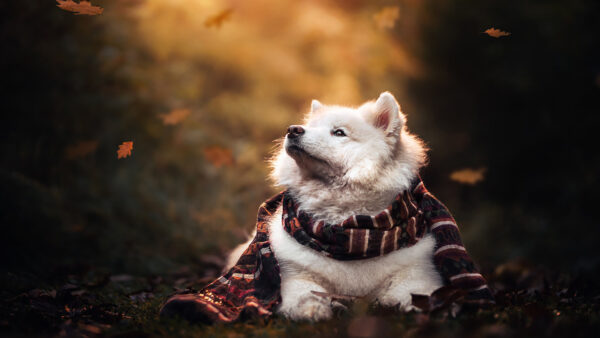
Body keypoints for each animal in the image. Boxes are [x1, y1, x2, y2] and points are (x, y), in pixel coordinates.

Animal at [225, 91, 440, 320]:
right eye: (311, 126)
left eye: (339, 132)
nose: (293, 130)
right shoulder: (292, 273)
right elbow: (303, 292)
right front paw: (314, 308)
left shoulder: (417, 270)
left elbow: (415, 290)